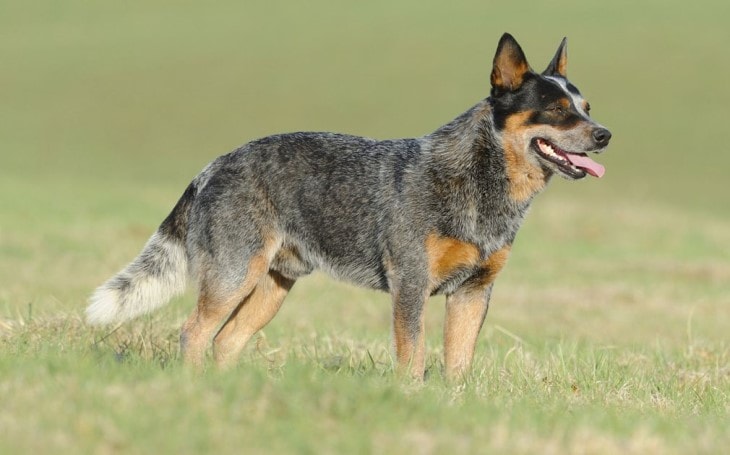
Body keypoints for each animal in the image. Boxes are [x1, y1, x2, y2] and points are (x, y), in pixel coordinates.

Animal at [85, 33, 608, 380]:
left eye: (586, 107)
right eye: (557, 110)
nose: (605, 134)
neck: (481, 184)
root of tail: (213, 165)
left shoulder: (474, 292)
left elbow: (458, 367)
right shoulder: (411, 283)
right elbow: (414, 358)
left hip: (272, 288)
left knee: (225, 342)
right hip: (233, 277)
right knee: (193, 332)